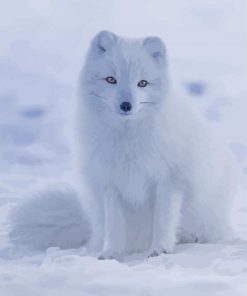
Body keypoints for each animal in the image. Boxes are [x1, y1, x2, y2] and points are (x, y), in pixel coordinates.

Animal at [9, 31, 236, 260]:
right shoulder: (110, 182)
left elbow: (163, 221)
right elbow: (115, 225)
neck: (127, 140)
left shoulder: (169, 180)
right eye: (111, 79)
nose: (126, 105)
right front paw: (111, 253)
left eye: (142, 83)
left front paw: (160, 249)